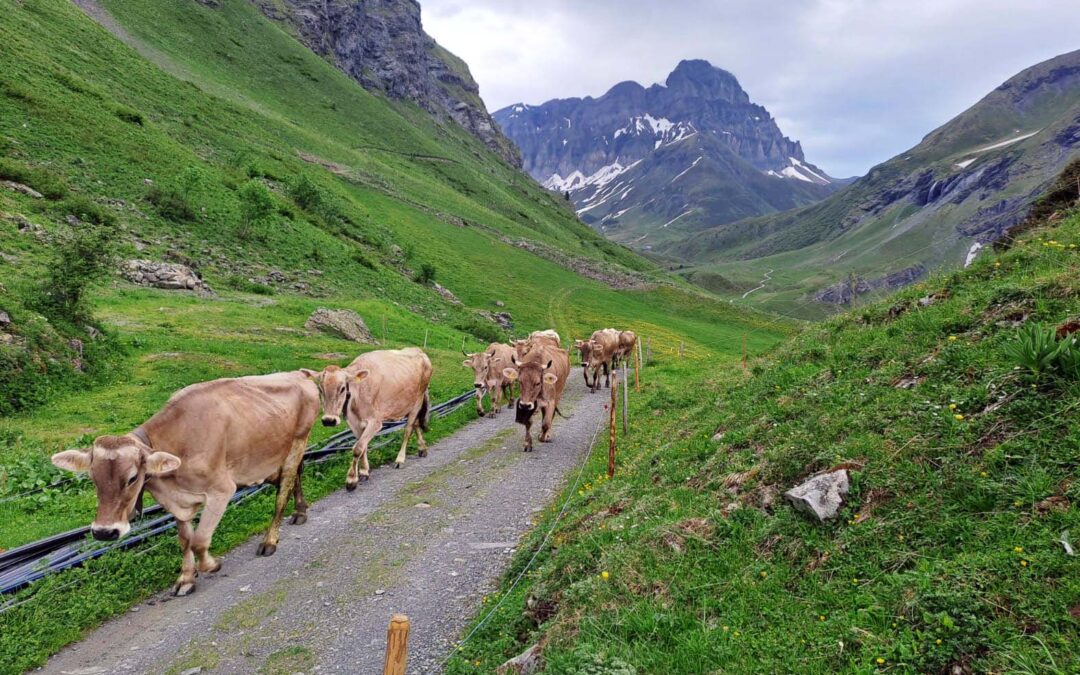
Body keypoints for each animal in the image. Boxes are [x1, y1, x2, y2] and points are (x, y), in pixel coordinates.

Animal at [50, 371, 320, 596]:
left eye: (132, 478)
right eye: (93, 478)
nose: (104, 532)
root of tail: (299, 374)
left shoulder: (222, 491)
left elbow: (199, 541)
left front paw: (212, 564)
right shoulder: (177, 502)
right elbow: (185, 541)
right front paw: (186, 579)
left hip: (298, 442)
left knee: (282, 492)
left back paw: (269, 540)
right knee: (293, 477)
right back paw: (300, 512)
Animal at [306, 348, 432, 489]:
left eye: (342, 388)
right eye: (320, 389)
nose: (329, 420)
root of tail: (419, 350)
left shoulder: (375, 422)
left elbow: (357, 448)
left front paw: (351, 479)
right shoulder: (354, 422)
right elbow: (363, 446)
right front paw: (364, 471)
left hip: (418, 400)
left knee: (408, 429)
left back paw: (400, 459)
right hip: (405, 404)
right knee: (416, 424)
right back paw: (422, 448)